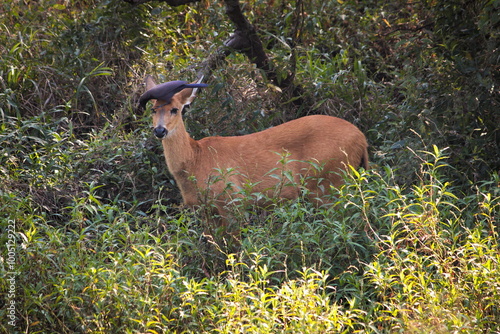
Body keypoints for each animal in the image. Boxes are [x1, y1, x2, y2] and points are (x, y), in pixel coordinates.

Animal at [140, 76, 368, 224]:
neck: (195, 159)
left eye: (175, 109)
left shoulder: (231, 200)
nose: (159, 130)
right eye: (153, 110)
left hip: (328, 182)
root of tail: (362, 138)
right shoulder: (205, 210)